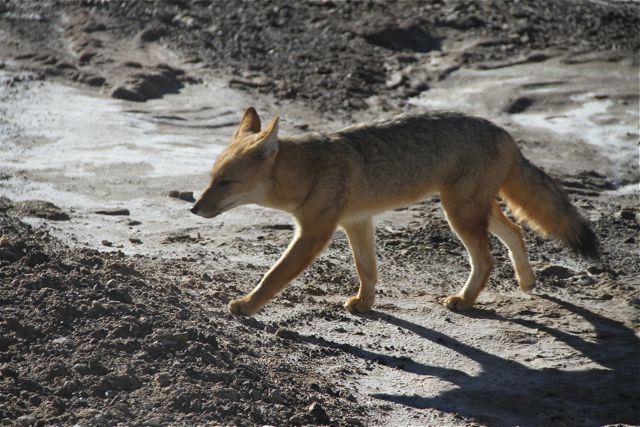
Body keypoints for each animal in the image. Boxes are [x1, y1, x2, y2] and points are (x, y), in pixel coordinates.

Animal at [190, 108, 600, 314]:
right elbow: (366, 270)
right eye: (211, 178)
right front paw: (365, 303)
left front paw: (246, 305)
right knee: (515, 231)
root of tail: (505, 132)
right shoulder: (357, 222)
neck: (310, 169)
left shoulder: (314, 234)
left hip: (459, 214)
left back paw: (465, 301)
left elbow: (273, 276)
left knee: (486, 259)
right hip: (474, 209)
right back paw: (527, 282)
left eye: (225, 182)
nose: (194, 208)